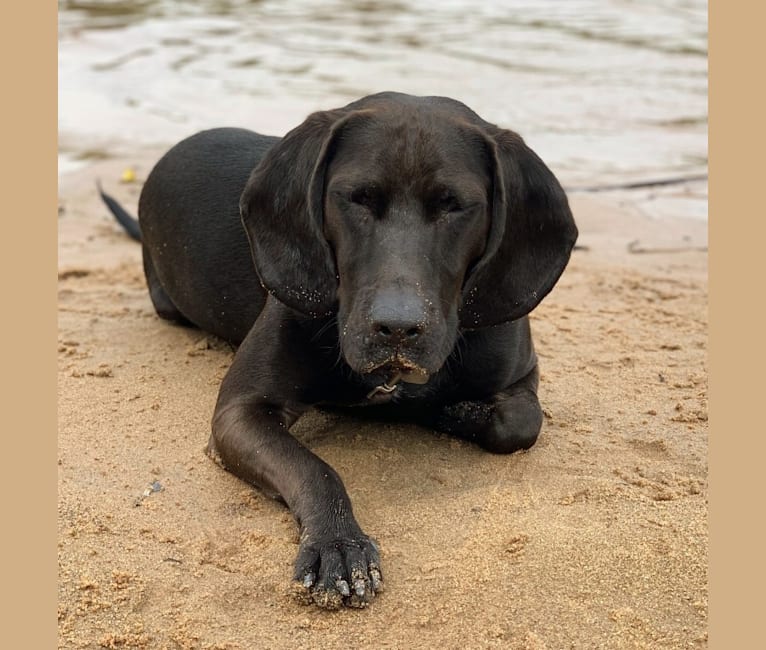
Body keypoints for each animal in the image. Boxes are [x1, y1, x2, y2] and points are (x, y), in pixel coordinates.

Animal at [103, 91, 584, 608]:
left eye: (454, 206)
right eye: (357, 198)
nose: (397, 328)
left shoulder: (521, 375)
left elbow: (520, 423)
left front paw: (445, 410)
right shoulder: (240, 412)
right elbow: (314, 470)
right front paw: (337, 542)